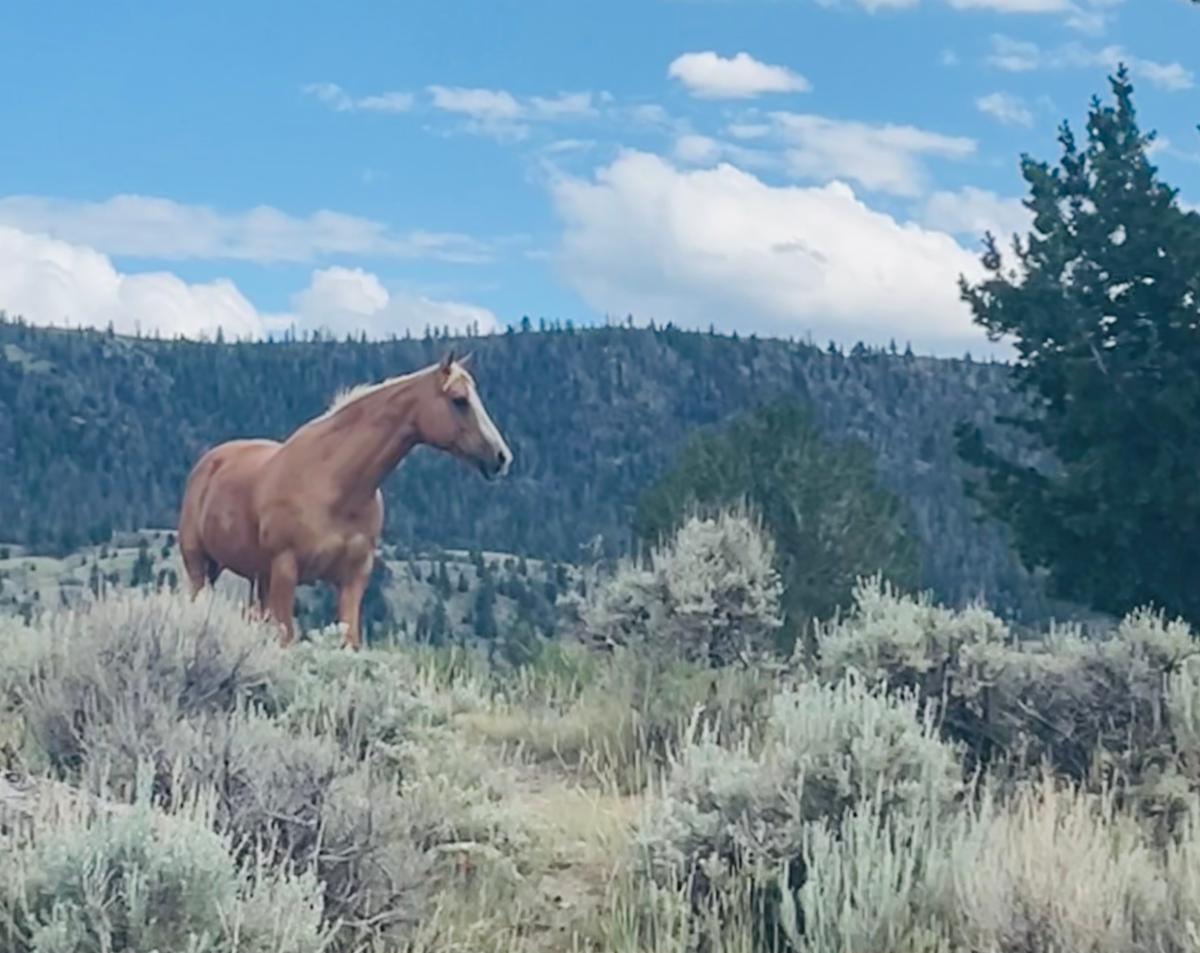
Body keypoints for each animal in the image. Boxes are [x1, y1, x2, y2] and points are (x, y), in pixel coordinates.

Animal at [176, 350, 511, 649]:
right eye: (459, 400)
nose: (501, 457)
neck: (335, 485)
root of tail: (208, 462)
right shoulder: (286, 568)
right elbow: (287, 636)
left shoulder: (353, 578)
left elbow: (349, 641)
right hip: (200, 564)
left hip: (252, 576)